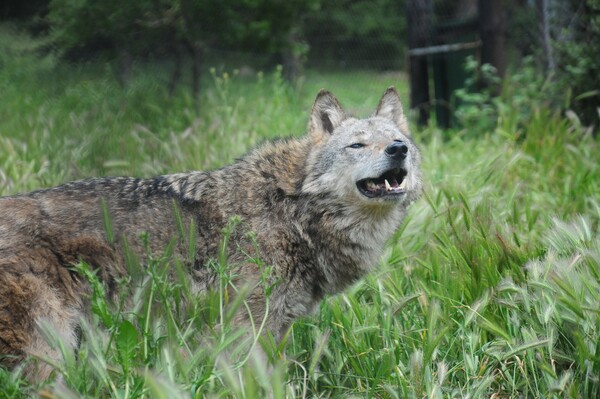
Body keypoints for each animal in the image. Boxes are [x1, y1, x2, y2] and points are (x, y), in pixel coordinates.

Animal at [0, 87, 422, 382]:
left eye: (397, 141)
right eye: (357, 145)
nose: (398, 149)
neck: (293, 208)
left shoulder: (276, 327)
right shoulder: (246, 327)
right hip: (46, 352)